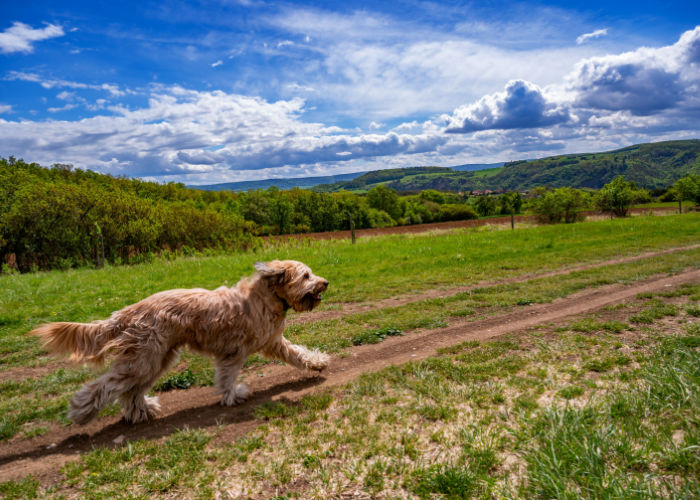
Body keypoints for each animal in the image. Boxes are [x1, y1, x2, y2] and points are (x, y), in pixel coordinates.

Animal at [30, 262, 330, 426]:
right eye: (306, 276)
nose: (325, 282)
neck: (266, 296)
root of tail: (126, 313)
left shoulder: (272, 341)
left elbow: (297, 353)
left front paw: (318, 362)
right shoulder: (233, 352)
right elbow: (227, 377)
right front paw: (233, 395)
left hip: (155, 359)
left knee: (130, 391)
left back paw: (141, 411)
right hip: (143, 360)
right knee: (104, 386)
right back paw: (80, 412)